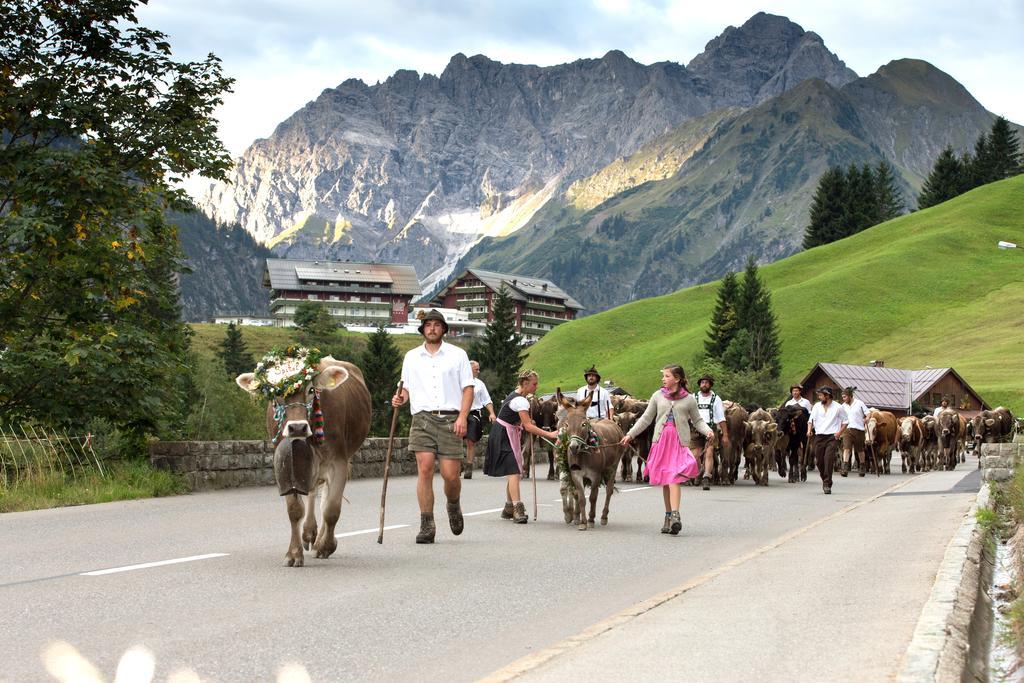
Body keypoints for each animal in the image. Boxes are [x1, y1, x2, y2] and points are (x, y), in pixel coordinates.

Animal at [236, 356, 372, 569]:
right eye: (275, 392)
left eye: (311, 390)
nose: (297, 427)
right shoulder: (284, 463)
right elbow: (294, 510)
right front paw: (293, 553)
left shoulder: (338, 462)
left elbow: (331, 509)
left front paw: (326, 546)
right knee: (313, 490)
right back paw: (308, 533)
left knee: (324, 499)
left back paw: (319, 540)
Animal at [557, 389, 618, 528]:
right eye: (567, 424)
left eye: (584, 424)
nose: (573, 447)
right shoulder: (576, 475)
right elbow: (580, 497)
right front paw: (582, 523)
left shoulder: (595, 476)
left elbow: (592, 497)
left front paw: (590, 519)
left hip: (613, 467)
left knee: (609, 491)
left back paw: (603, 517)